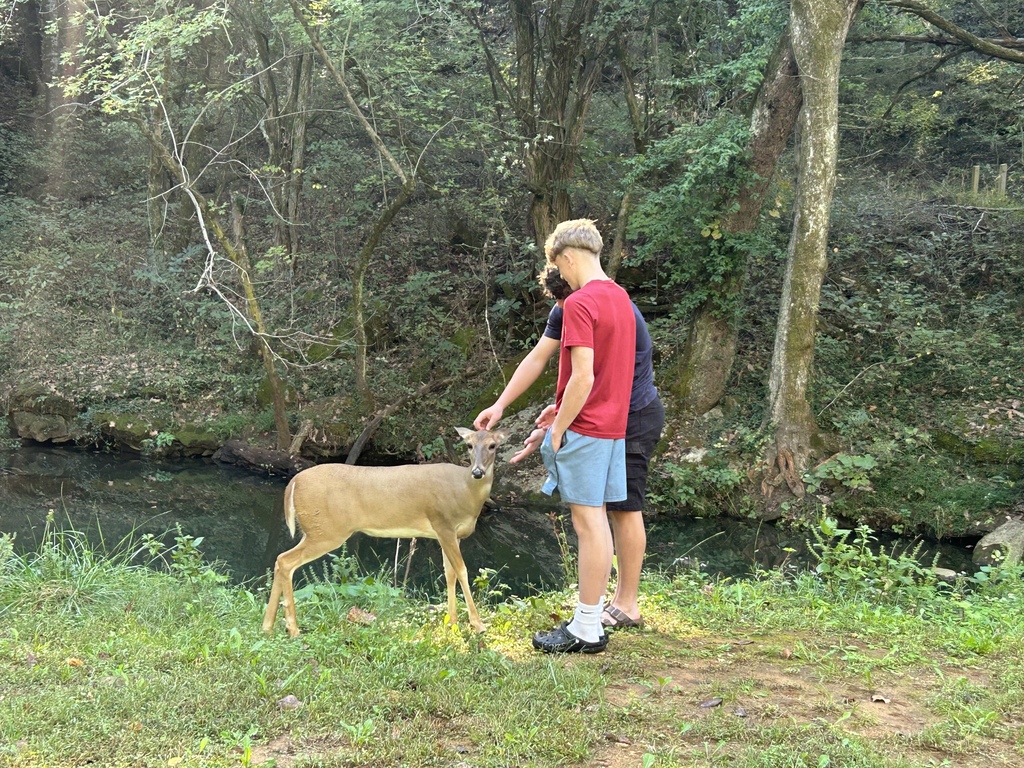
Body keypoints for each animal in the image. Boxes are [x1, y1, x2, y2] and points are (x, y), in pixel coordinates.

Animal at [262, 427, 509, 637]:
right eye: (469, 445)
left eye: (492, 445)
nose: (477, 472)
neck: (466, 491)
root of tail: (293, 481)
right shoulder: (443, 524)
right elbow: (463, 571)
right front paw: (478, 624)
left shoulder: (450, 534)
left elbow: (449, 574)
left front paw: (453, 622)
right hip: (326, 530)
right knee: (285, 560)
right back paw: (292, 628)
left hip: (316, 530)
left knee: (279, 560)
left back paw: (268, 626)